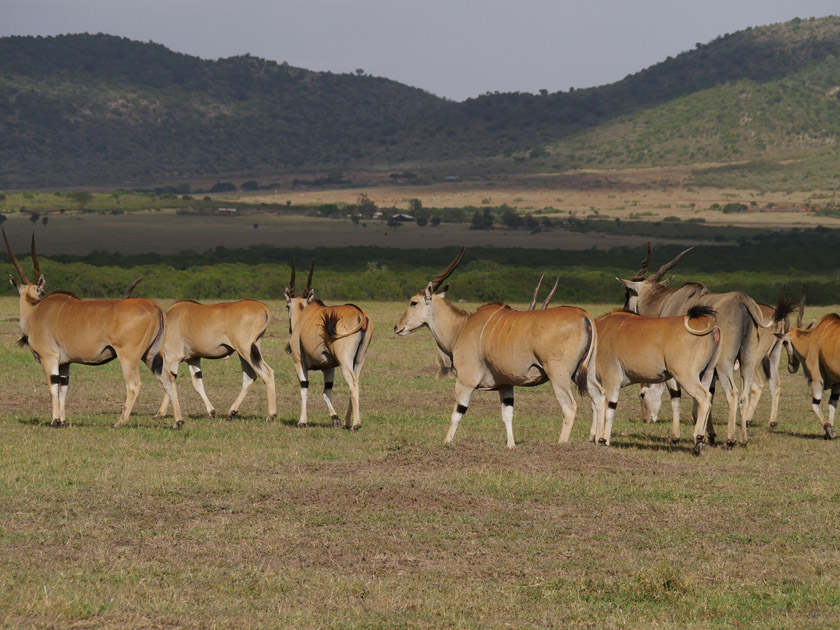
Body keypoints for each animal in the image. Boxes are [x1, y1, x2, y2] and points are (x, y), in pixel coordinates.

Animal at [4, 230, 182, 432]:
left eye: (41, 292)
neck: (36, 309)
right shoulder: (65, 363)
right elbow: (63, 388)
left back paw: (120, 422)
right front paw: (63, 421)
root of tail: (153, 305)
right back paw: (178, 422)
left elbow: (53, 387)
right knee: (168, 380)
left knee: (134, 384)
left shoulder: (49, 358)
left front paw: (55, 421)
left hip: (129, 356)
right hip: (151, 355)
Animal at [286, 260, 370, 430]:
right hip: (358, 361)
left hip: (345, 361)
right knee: (356, 382)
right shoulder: (328, 367)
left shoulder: (299, 362)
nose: (290, 329)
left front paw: (302, 421)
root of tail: (360, 314)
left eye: (286, 306)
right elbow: (327, 391)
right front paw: (335, 419)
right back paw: (346, 422)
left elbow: (304, 387)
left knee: (353, 384)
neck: (303, 315)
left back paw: (356, 424)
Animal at [396, 247, 604, 450]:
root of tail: (584, 315)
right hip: (585, 373)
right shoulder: (505, 385)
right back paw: (599, 440)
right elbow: (507, 414)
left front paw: (446, 442)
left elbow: (457, 412)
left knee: (569, 406)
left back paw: (561, 444)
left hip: (559, 375)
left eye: (413, 302)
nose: (397, 327)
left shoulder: (465, 382)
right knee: (599, 397)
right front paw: (511, 445)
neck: (461, 327)